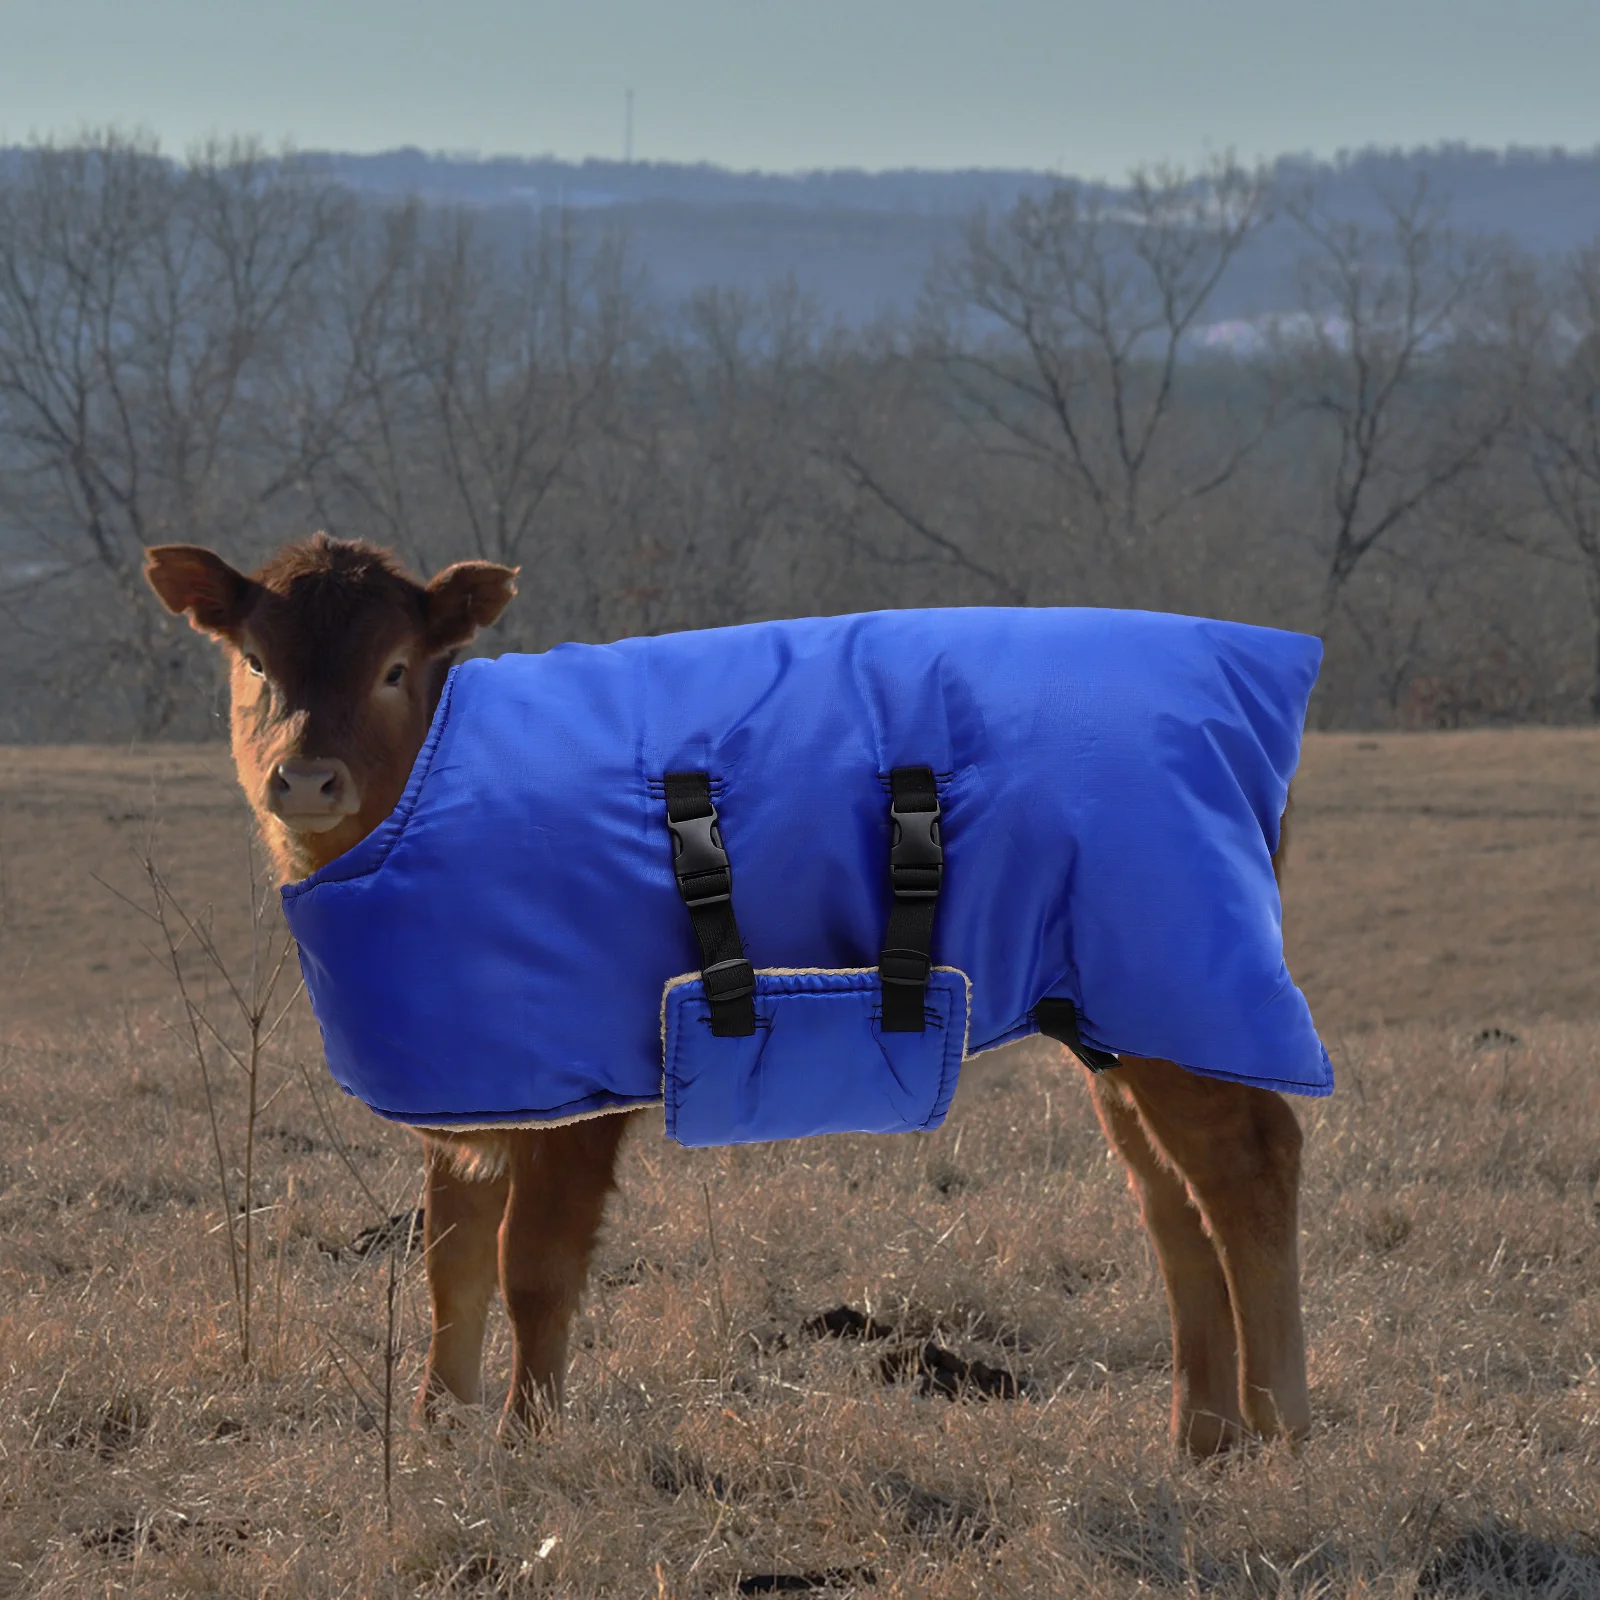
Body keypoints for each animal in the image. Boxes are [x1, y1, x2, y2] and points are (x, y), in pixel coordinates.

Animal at [144, 531, 1305, 1459]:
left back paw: (1280, 1426)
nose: (304, 777)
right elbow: (451, 1261)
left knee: (1249, 1162)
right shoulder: (469, 1077)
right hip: (1112, 1009)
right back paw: (1201, 1435)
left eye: (393, 668)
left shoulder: (580, 1086)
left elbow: (533, 1267)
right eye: (256, 660)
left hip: (1182, 979)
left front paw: (526, 1441)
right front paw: (437, 1428)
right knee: (1167, 1194)